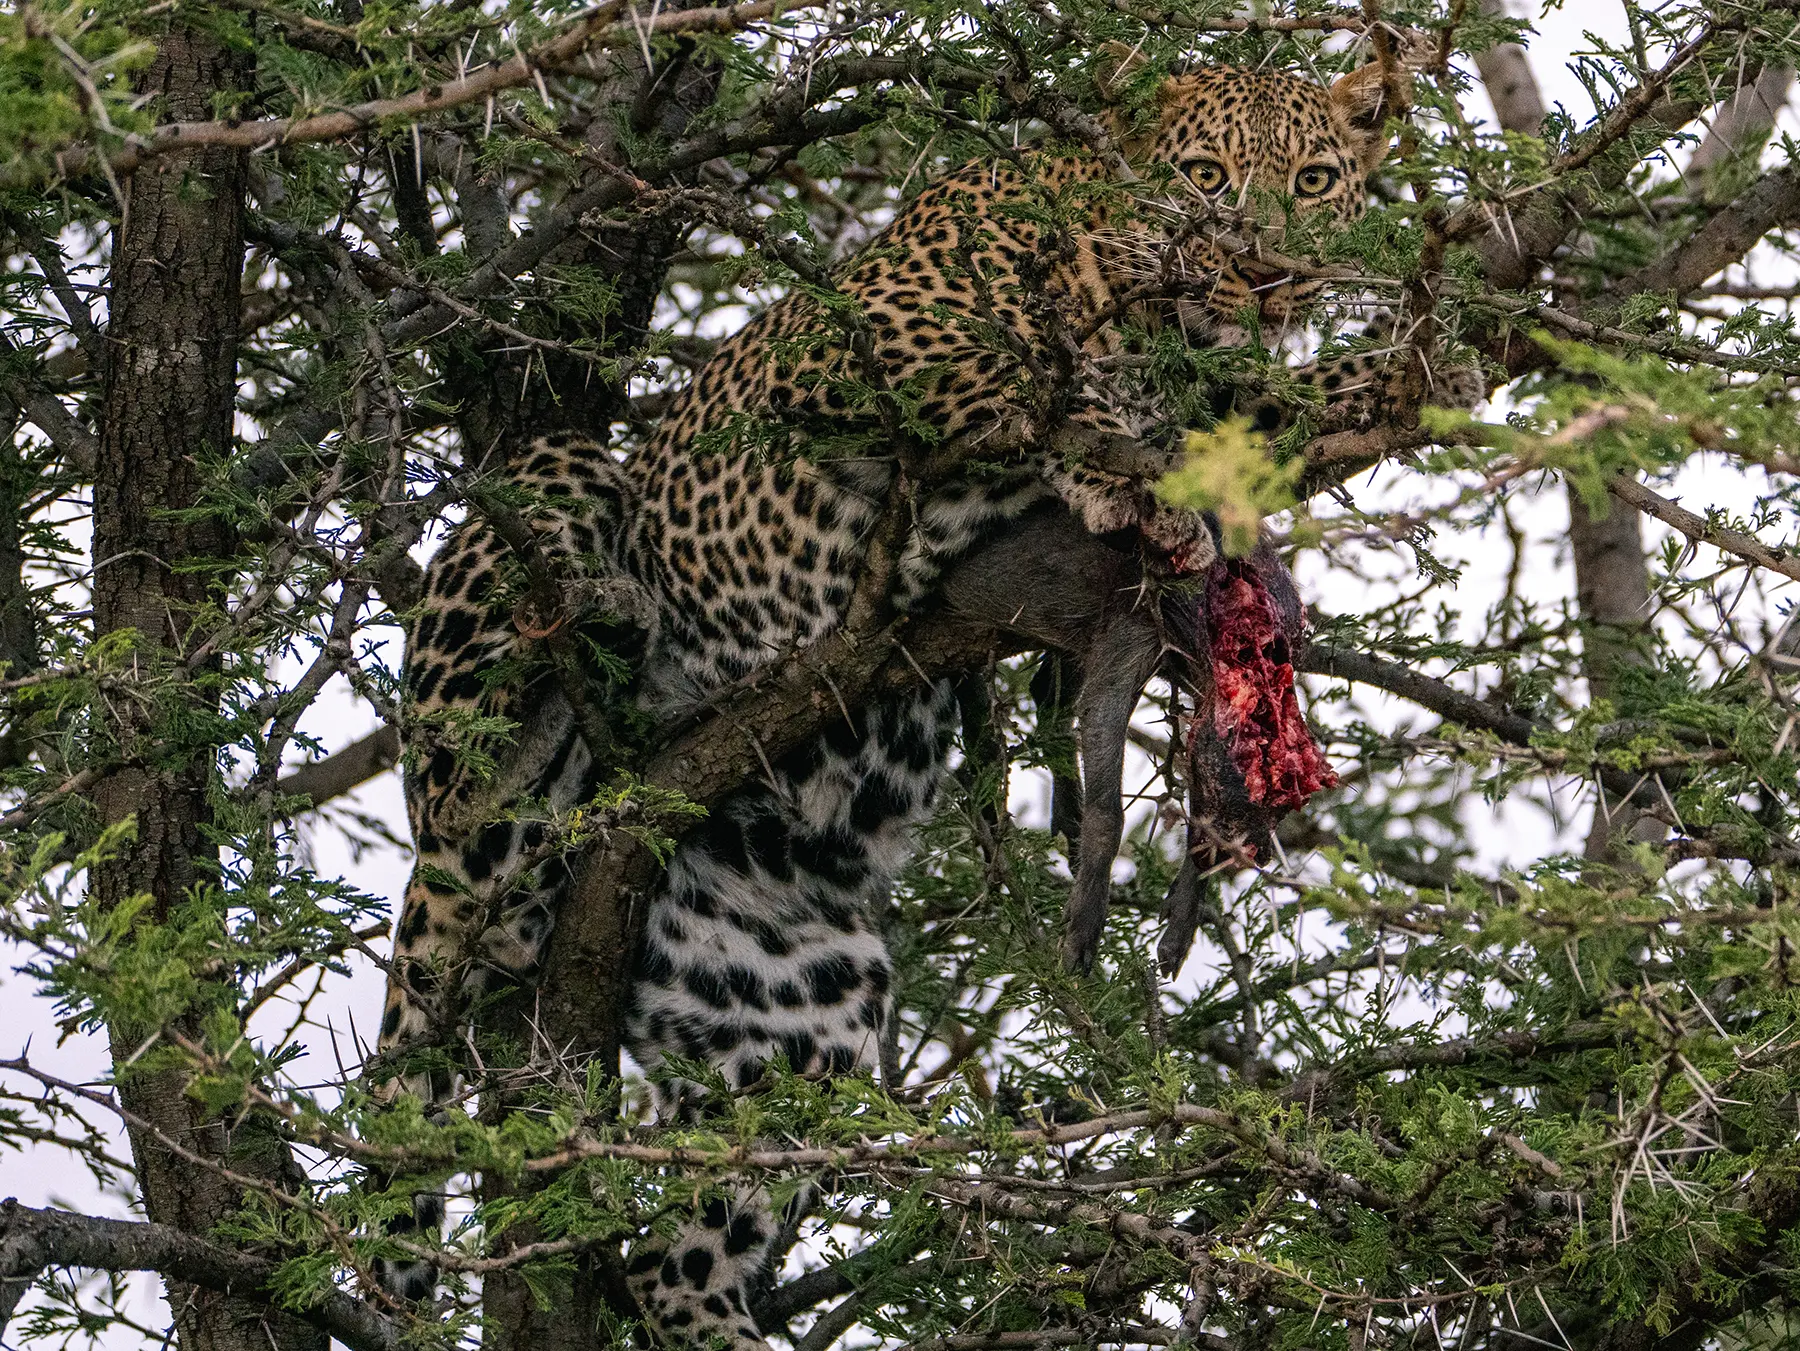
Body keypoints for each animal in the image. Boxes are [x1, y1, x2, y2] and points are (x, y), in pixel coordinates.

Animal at [376, 55, 1415, 1349]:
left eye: (1314, 180)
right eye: (1206, 178)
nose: (1269, 272)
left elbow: (1267, 402)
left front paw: (1397, 367)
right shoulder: (855, 341)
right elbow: (1025, 374)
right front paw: (1114, 449)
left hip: (800, 1000)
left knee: (674, 1257)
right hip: (536, 524)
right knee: (446, 910)